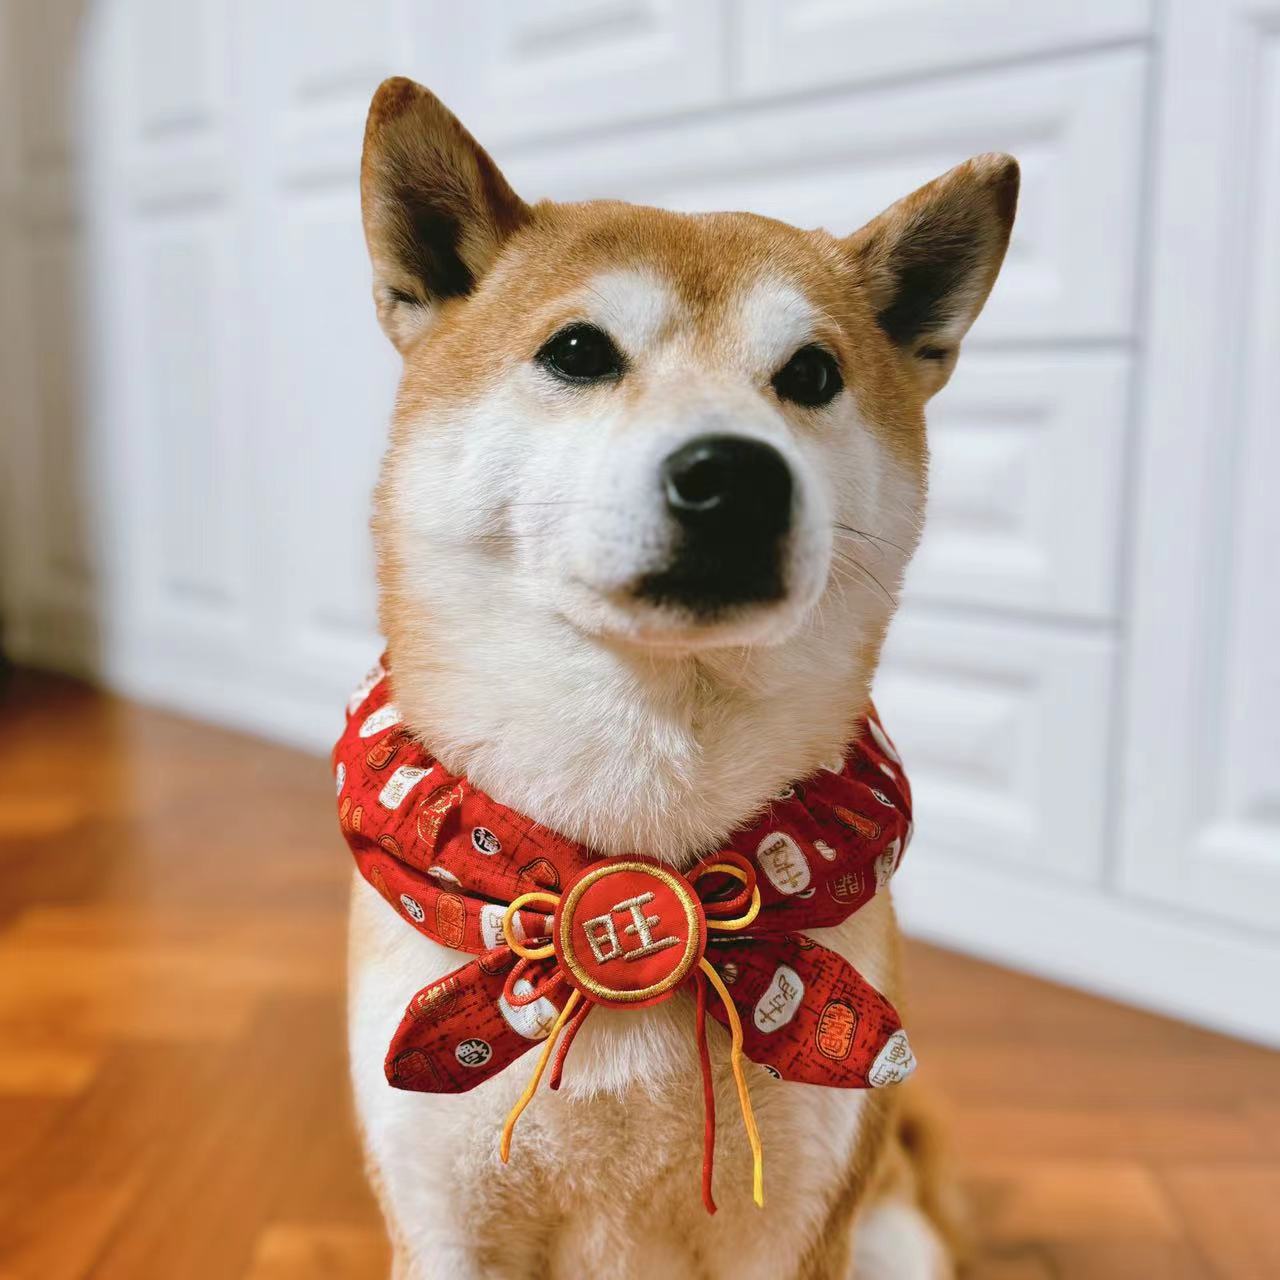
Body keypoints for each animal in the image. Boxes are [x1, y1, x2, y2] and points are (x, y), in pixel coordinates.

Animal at [345, 77, 1013, 1280]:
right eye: (576, 349)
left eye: (812, 374)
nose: (735, 475)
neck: (632, 845)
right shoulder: (441, 1213)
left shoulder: (795, 1224)